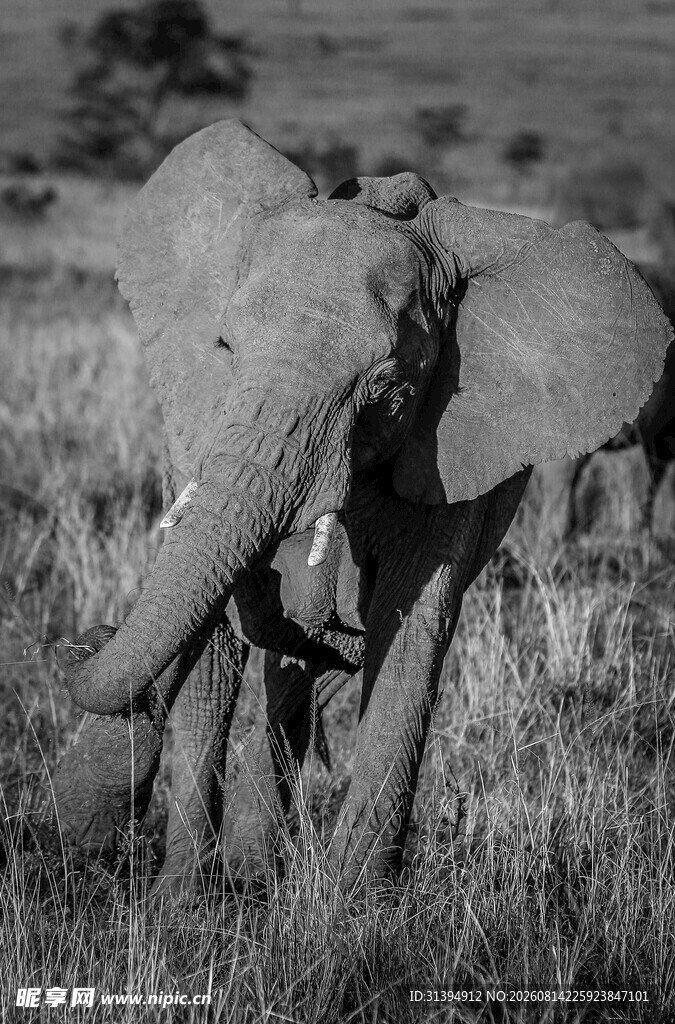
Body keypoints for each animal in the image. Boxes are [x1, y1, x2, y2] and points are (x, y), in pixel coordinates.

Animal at [49, 119, 672, 894]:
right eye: (224, 347)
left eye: (384, 385)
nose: (84, 640)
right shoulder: (195, 422)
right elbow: (215, 630)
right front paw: (180, 906)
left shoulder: (448, 445)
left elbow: (410, 624)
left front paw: (354, 905)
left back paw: (261, 864)